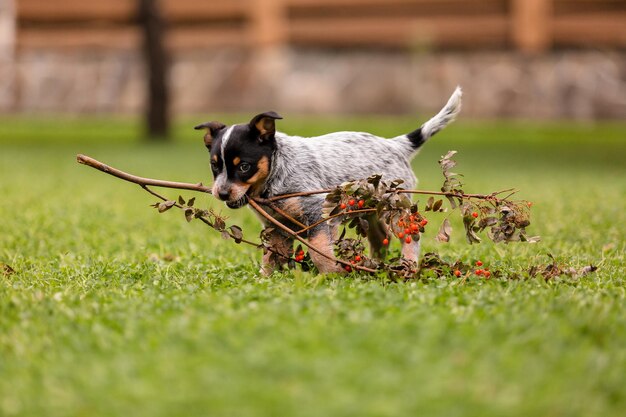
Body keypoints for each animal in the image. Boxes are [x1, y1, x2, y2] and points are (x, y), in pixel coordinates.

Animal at [193, 87, 460, 272]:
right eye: (215, 166)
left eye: (244, 167)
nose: (221, 193)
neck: (276, 177)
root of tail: (396, 144)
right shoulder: (276, 226)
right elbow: (270, 256)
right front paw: (265, 279)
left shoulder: (316, 213)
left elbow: (320, 250)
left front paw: (331, 274)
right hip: (370, 212)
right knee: (379, 240)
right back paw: (372, 266)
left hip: (394, 208)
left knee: (410, 237)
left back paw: (407, 264)